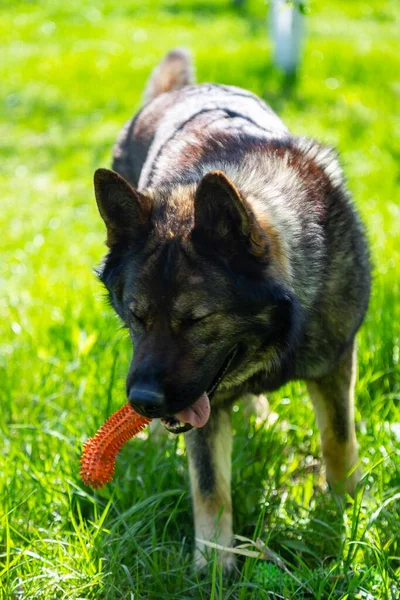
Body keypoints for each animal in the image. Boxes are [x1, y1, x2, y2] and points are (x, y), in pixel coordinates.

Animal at [92, 49, 370, 568]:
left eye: (198, 320)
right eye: (136, 317)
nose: (142, 401)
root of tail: (174, 92)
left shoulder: (335, 362)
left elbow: (338, 440)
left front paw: (347, 511)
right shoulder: (204, 405)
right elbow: (209, 486)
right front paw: (215, 566)